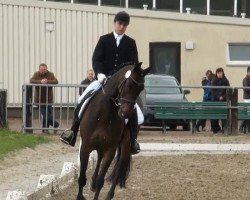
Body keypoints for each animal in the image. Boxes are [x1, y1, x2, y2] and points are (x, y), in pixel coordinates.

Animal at [76, 61, 150, 199]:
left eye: (141, 88)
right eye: (128, 84)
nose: (126, 114)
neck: (104, 113)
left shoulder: (110, 150)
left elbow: (101, 180)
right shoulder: (85, 147)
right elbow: (82, 178)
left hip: (125, 145)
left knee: (119, 167)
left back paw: (108, 194)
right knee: (99, 157)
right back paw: (92, 183)